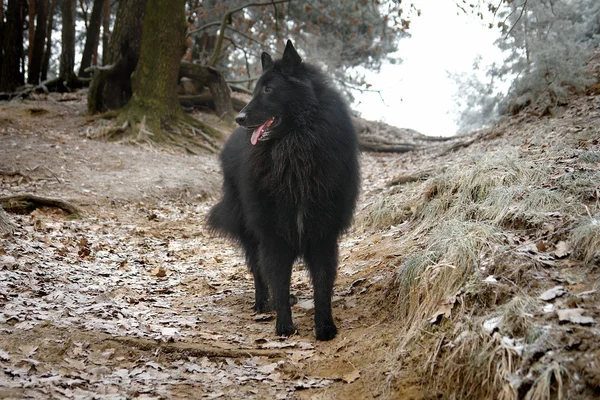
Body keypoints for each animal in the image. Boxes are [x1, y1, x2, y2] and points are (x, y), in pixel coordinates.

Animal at [209, 40, 358, 340]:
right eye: (256, 88)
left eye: (268, 89)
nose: (239, 118)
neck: (295, 152)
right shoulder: (273, 236)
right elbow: (277, 278)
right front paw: (284, 326)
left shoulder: (323, 235)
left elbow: (322, 285)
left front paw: (325, 327)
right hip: (250, 231)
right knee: (258, 271)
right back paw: (261, 304)